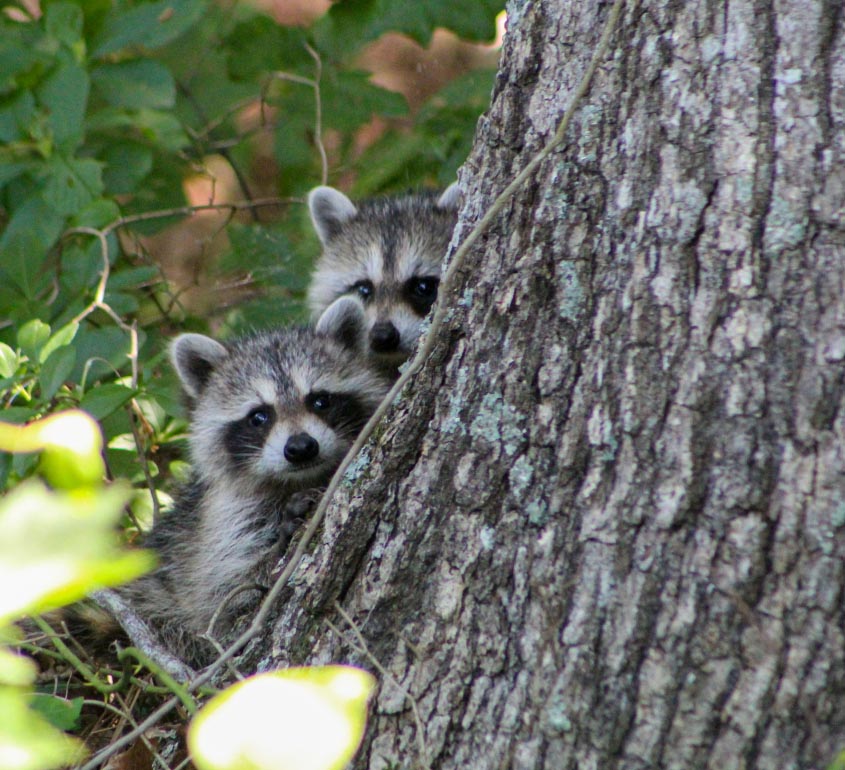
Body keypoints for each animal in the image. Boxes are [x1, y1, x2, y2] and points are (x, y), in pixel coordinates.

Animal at [118, 296, 390, 664]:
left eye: (320, 400)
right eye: (259, 416)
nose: (301, 448)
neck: (297, 480)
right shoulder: (218, 523)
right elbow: (222, 597)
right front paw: (278, 545)